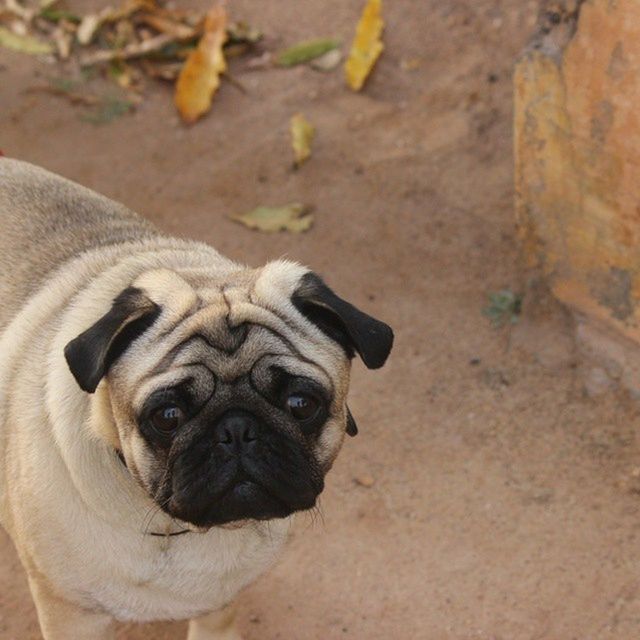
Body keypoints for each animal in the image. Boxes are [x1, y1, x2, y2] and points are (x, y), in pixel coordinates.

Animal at [0, 158, 392, 636]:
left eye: (301, 404)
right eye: (167, 415)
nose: (237, 429)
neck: (176, 528)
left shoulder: (219, 606)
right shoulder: (72, 615)